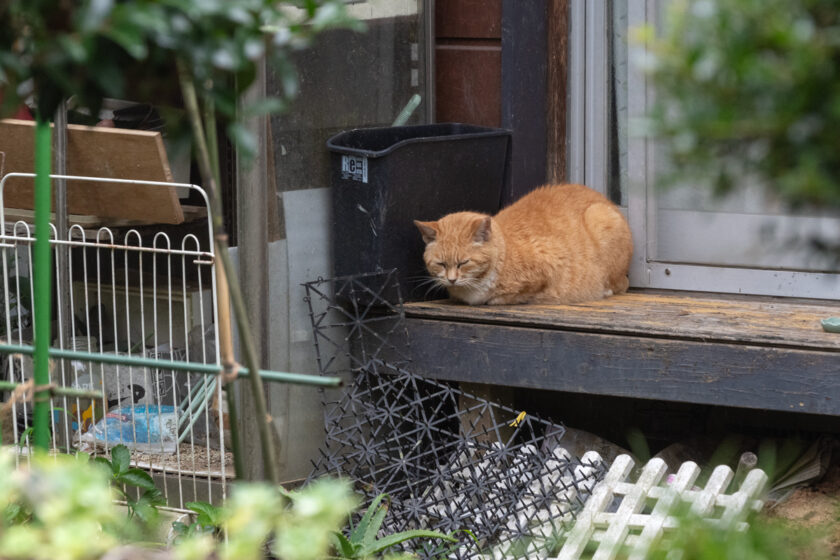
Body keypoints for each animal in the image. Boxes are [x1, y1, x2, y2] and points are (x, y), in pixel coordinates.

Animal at [414, 184, 632, 306]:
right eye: (441, 264)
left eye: (464, 263)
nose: (451, 280)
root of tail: (605, 200)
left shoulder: (551, 265)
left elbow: (508, 297)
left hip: (601, 218)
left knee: (620, 285)